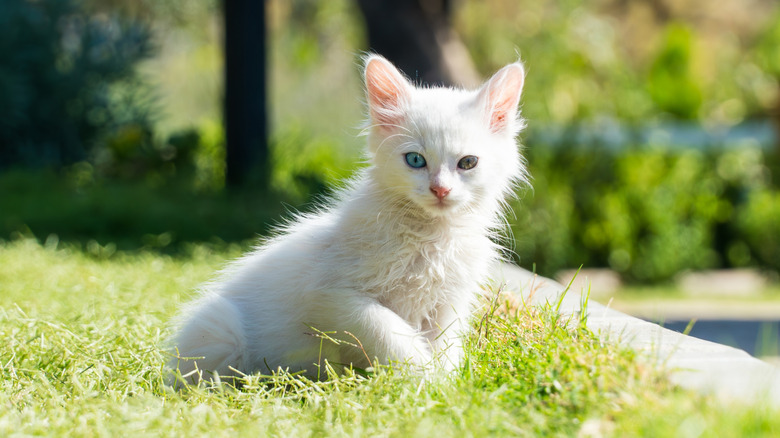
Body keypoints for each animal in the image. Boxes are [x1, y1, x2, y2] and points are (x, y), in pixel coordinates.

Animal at [168, 55, 528, 384]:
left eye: (467, 163)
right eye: (415, 160)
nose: (440, 189)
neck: (429, 236)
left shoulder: (447, 304)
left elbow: (444, 346)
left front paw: (448, 385)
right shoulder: (332, 295)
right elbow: (390, 331)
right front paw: (426, 380)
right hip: (219, 328)